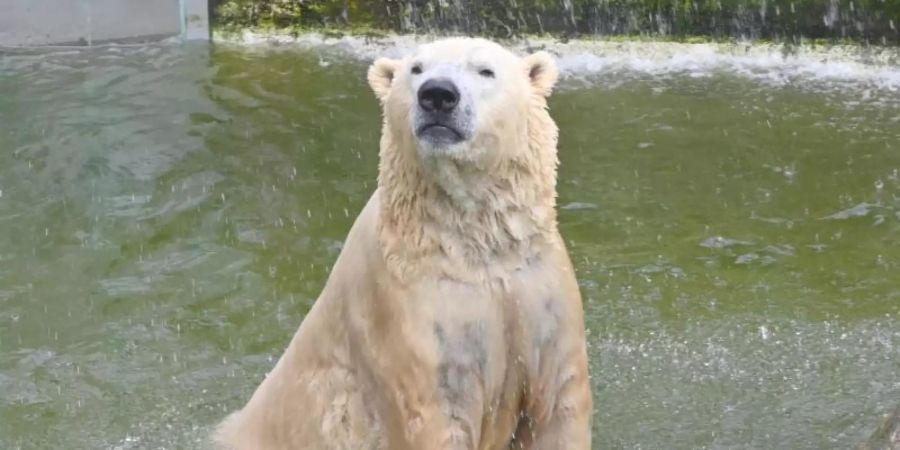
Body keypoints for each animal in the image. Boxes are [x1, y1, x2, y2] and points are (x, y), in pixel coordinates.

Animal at [215, 37, 596, 450]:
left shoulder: (538, 291)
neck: (470, 245)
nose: (438, 94)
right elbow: (434, 414)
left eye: (485, 70)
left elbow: (558, 405)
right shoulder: (409, 311)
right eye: (416, 69)